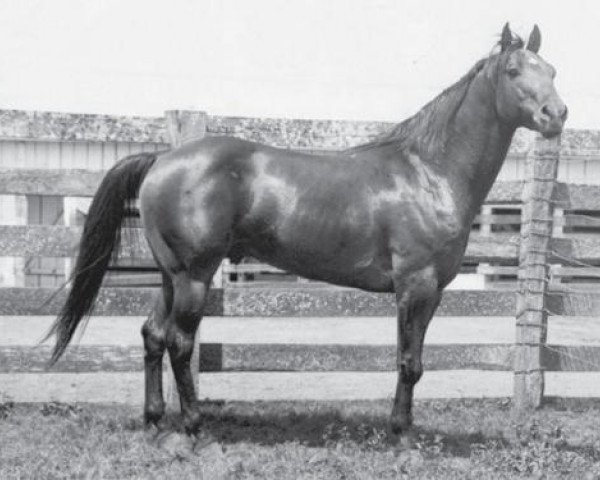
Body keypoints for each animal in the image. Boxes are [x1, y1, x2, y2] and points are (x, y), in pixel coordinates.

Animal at [47, 22, 568, 442]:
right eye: (514, 71)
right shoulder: (414, 287)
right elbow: (408, 362)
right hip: (193, 277)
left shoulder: (434, 291)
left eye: (553, 70)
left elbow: (415, 364)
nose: (556, 114)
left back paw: (155, 422)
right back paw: (194, 427)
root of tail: (162, 159)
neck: (429, 171)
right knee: (178, 343)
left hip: (170, 276)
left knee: (153, 335)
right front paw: (400, 435)